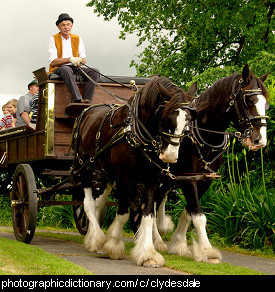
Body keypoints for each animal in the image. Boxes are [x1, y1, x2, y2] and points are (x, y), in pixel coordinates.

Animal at [74, 76, 197, 266]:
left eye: (188, 121)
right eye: (165, 117)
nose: (169, 156)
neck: (138, 134)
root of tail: (87, 111)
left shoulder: (152, 179)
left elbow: (147, 214)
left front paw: (148, 253)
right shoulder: (123, 177)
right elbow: (123, 213)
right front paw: (114, 244)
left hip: (105, 173)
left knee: (98, 202)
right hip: (85, 167)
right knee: (88, 202)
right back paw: (96, 239)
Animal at [154, 65, 270, 264]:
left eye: (266, 104)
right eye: (248, 100)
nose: (259, 140)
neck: (202, 134)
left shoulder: (204, 180)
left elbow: (189, 212)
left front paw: (178, 243)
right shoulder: (188, 178)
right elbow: (198, 215)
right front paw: (208, 251)